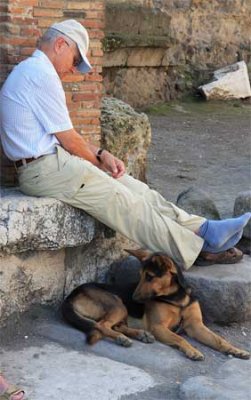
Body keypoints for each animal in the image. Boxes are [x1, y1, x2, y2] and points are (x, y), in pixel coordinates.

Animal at [61, 250, 250, 360]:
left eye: (150, 277)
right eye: (140, 276)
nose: (134, 298)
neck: (176, 299)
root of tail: (69, 296)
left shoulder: (195, 326)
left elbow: (219, 339)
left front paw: (235, 350)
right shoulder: (159, 327)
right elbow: (180, 338)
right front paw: (192, 350)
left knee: (115, 326)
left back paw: (140, 335)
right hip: (118, 304)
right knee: (102, 325)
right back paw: (123, 338)